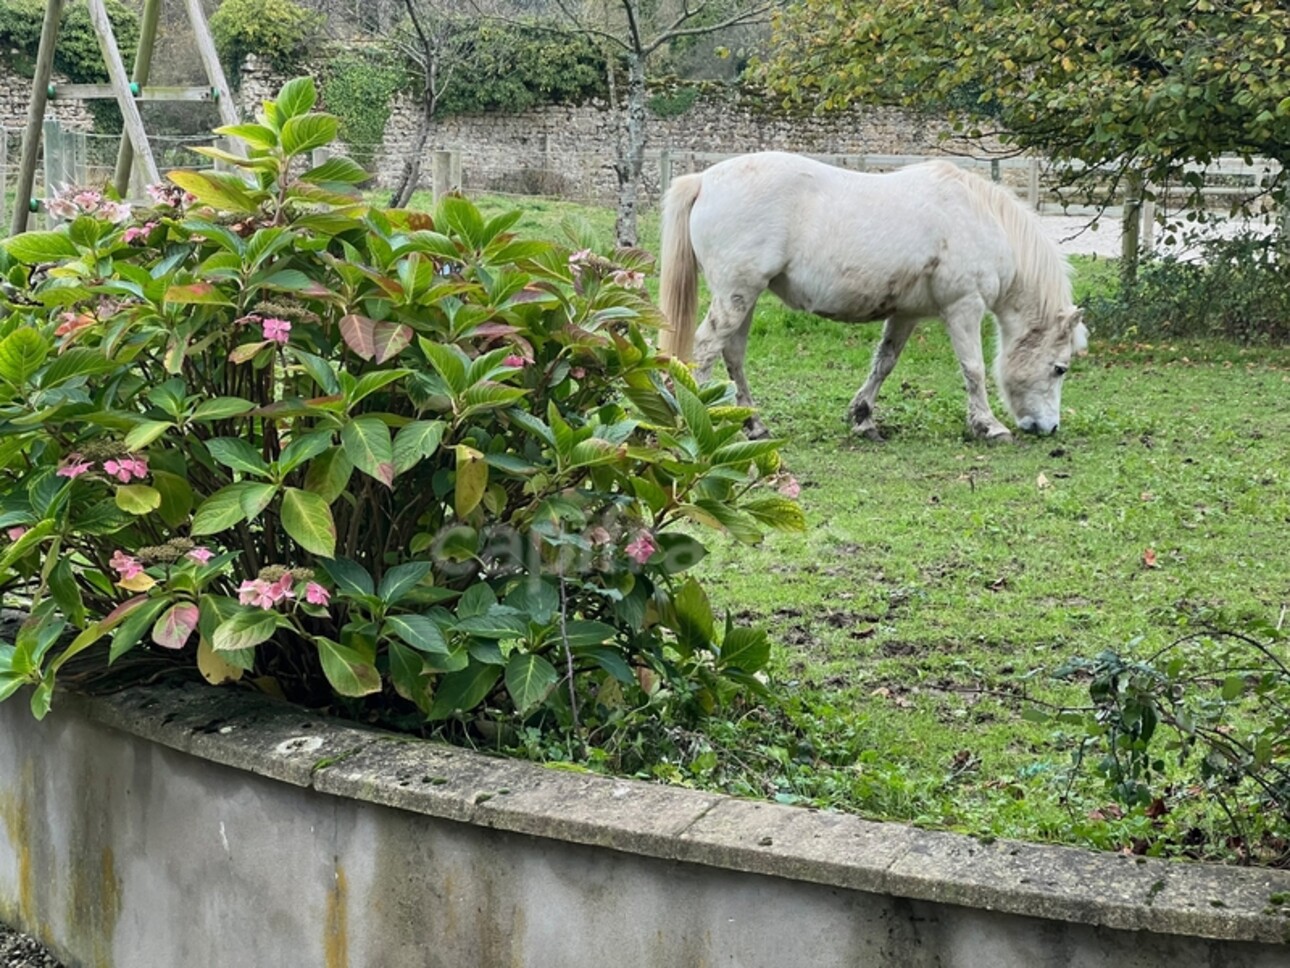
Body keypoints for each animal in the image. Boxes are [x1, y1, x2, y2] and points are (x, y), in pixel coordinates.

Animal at [655, 153, 1088, 441]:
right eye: (1060, 368)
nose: (1048, 427)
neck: (980, 219)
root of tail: (705, 179)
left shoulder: (906, 314)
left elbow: (885, 363)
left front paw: (863, 418)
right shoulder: (963, 307)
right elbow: (974, 369)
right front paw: (989, 426)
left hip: (744, 297)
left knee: (733, 355)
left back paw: (754, 425)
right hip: (737, 294)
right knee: (706, 350)